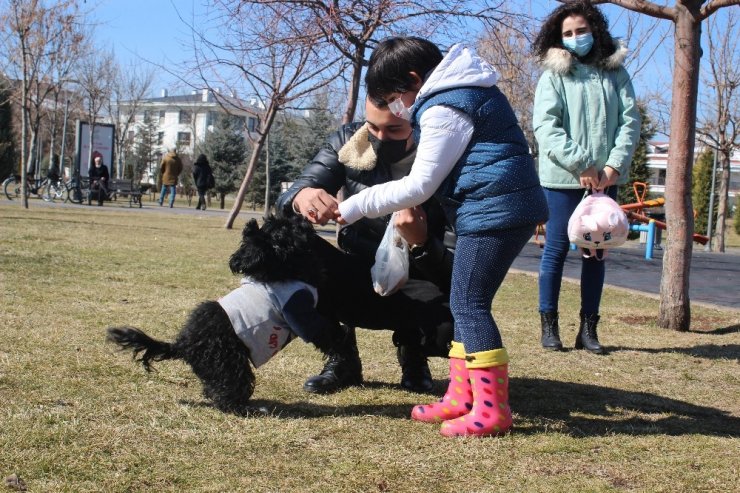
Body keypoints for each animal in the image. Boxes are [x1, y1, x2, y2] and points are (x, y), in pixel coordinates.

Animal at [105, 214, 354, 412]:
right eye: (286, 227)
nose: (300, 215)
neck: (282, 269)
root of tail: (183, 344)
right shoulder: (297, 308)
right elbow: (323, 332)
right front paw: (343, 342)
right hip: (229, 362)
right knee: (230, 391)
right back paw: (248, 408)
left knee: (213, 388)